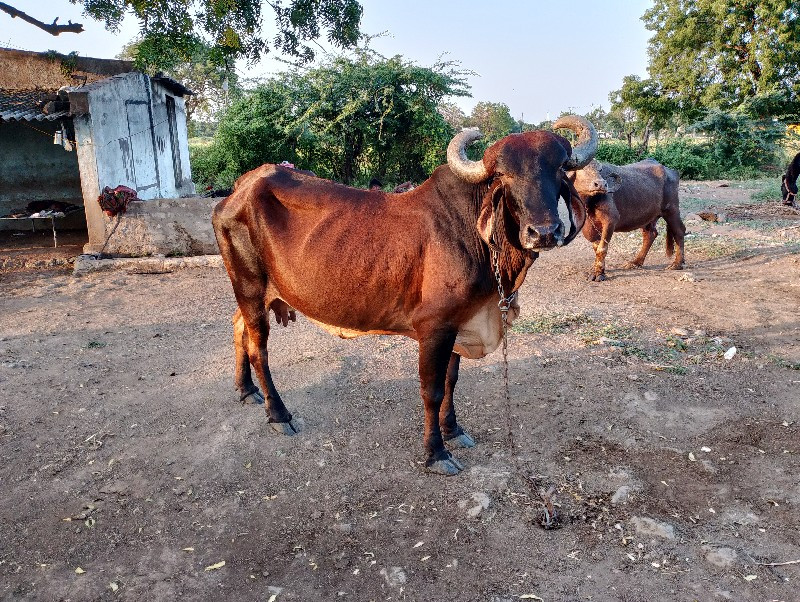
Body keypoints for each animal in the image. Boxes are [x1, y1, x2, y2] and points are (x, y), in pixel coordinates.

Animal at [212, 116, 600, 474]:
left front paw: (453, 430)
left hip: (254, 293)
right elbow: (433, 389)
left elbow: (452, 380)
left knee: (238, 326)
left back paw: (246, 391)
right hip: (249, 286)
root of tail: (240, 187)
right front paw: (436, 453)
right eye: (503, 176)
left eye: (558, 168)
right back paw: (279, 414)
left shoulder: (458, 322)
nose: (544, 232)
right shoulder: (434, 326)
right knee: (258, 348)